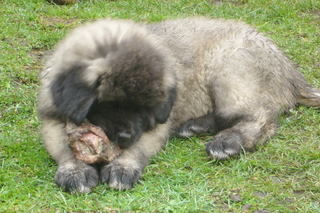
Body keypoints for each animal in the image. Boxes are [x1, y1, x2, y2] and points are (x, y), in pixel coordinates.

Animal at [38, 17, 320, 192]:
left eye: (147, 110)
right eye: (111, 103)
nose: (126, 136)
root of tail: (289, 70)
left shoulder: (157, 124)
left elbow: (140, 146)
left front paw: (123, 167)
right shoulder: (51, 119)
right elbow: (64, 148)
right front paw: (74, 172)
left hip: (230, 70)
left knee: (262, 118)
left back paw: (227, 142)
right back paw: (195, 126)